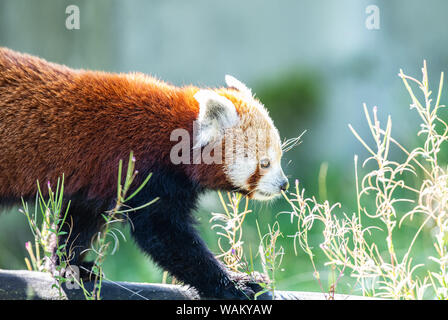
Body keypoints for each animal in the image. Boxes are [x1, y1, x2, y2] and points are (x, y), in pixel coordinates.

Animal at [0, 47, 288, 300]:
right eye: (265, 163)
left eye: (279, 158)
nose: (284, 184)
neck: (176, 136)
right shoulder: (146, 172)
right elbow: (165, 235)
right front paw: (236, 284)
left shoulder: (96, 183)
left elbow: (79, 222)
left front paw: (68, 266)